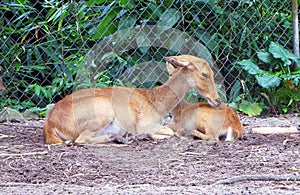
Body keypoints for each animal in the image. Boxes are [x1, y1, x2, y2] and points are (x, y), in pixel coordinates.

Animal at [43, 54, 221, 144]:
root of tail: (50, 125)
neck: (155, 102)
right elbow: (169, 131)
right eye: (204, 73)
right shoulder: (144, 123)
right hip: (102, 110)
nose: (217, 100)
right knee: (80, 139)